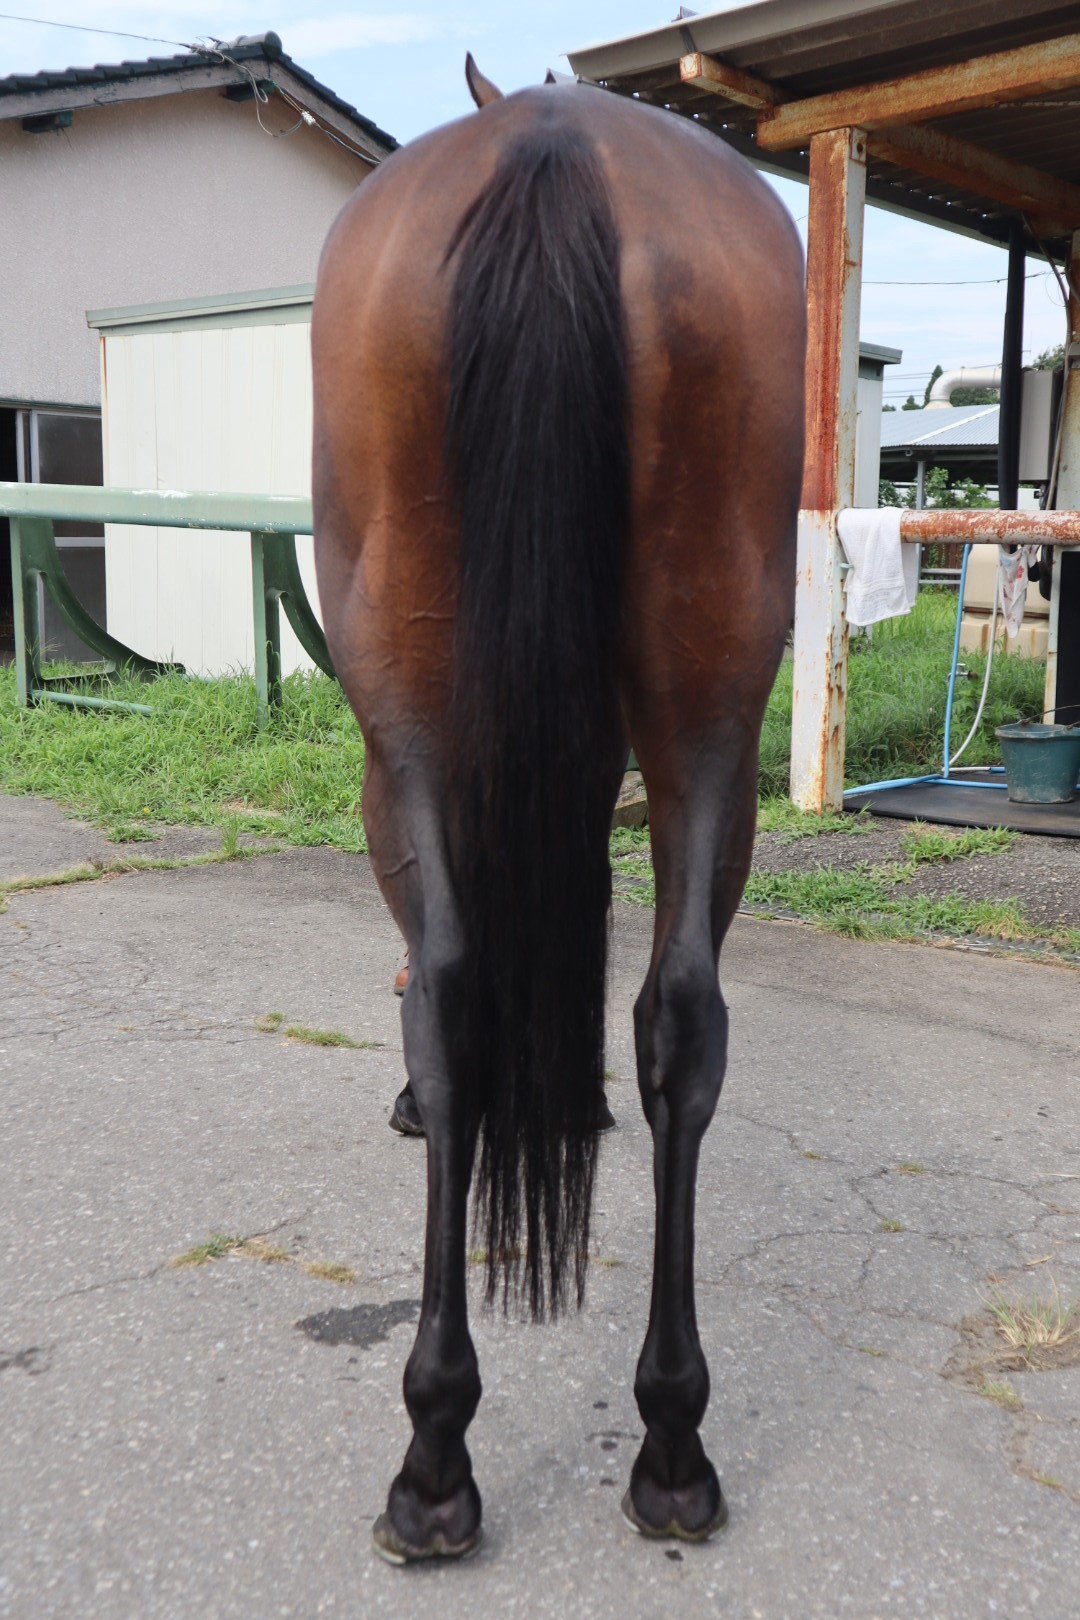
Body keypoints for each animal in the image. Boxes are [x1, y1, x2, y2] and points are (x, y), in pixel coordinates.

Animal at [311, 57, 804, 1563]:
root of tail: (554, 138)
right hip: (712, 690)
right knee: (681, 1016)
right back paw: (674, 1437)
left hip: (407, 680)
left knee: (452, 994)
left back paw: (432, 1460)